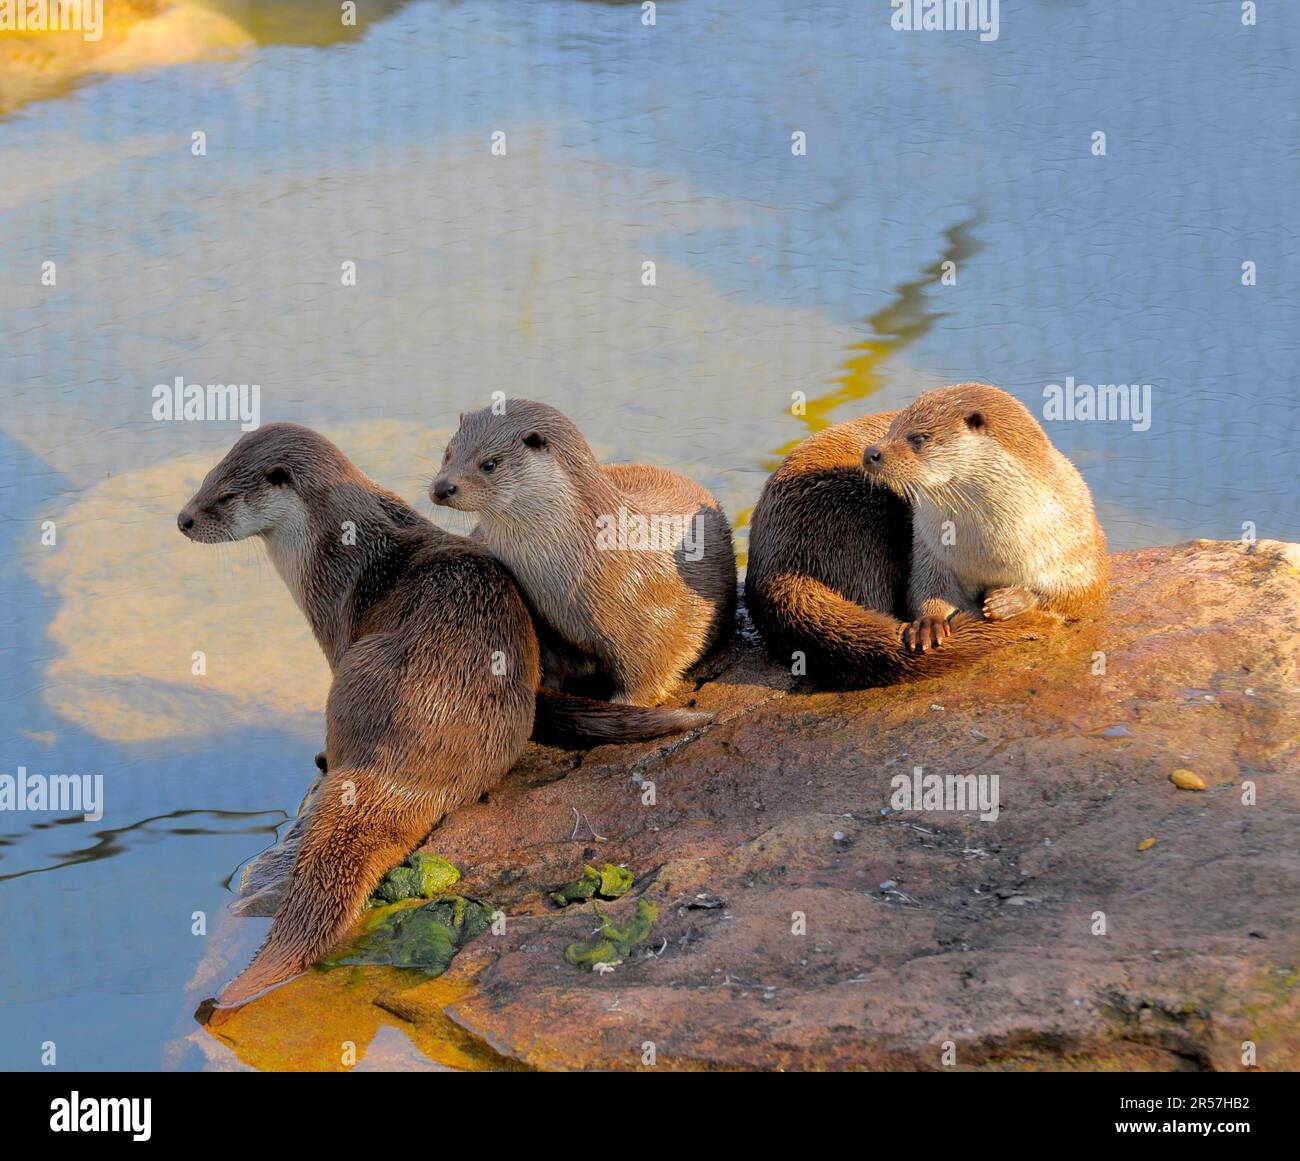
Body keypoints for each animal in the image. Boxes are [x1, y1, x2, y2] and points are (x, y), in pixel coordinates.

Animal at [178, 423, 708, 1010]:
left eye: (225, 496)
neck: (330, 549)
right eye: (205, 479)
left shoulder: (335, 623)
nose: (184, 519)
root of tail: (403, 774)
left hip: (360, 666)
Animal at [431, 400, 737, 705]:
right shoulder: (547, 624)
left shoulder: (653, 626)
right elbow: (552, 665)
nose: (443, 487)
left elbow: (648, 675)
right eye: (447, 453)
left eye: (489, 464)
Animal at [746, 383, 1106, 685]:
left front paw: (1010, 601)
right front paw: (929, 623)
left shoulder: (1078, 535)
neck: (991, 552)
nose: (871, 452)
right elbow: (924, 588)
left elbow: (1082, 593)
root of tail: (775, 562)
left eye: (919, 438)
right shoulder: (930, 549)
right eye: (892, 428)